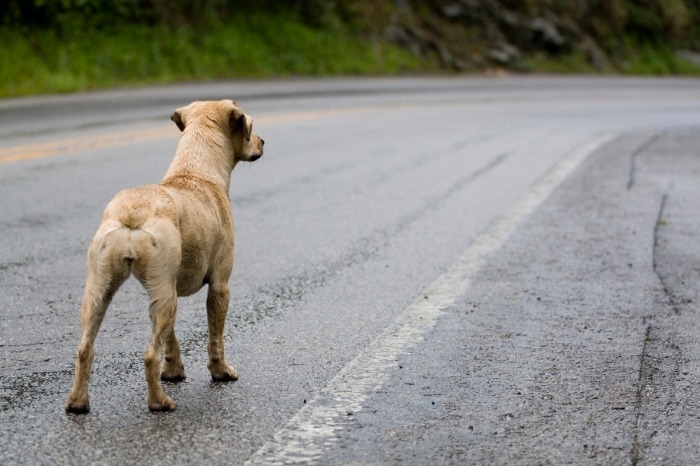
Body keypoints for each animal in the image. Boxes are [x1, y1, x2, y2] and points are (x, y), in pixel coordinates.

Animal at [65, 100, 266, 414]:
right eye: (251, 126)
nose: (263, 142)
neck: (196, 171)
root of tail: (133, 211)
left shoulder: (166, 289)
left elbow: (170, 338)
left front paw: (173, 372)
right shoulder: (220, 286)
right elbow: (216, 337)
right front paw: (221, 372)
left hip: (104, 292)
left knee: (85, 348)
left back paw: (77, 403)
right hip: (161, 295)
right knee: (149, 355)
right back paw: (159, 402)